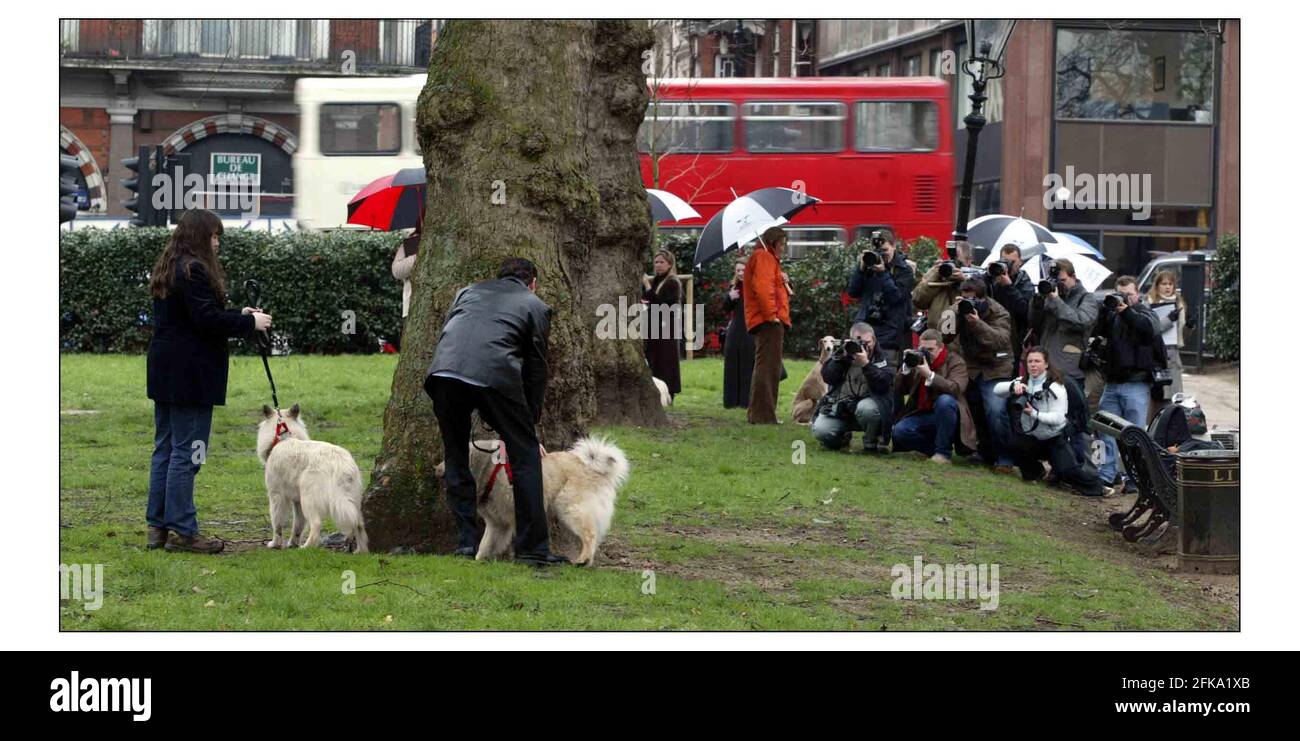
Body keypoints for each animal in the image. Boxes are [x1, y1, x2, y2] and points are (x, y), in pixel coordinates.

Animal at [254, 403, 369, 553]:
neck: (283, 439)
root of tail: (338, 462)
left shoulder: (277, 497)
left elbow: (277, 524)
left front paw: (275, 544)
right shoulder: (297, 502)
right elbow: (298, 526)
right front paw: (293, 543)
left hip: (308, 499)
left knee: (316, 524)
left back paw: (306, 547)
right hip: (351, 500)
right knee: (359, 524)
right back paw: (360, 551)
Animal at [434, 436, 631, 561]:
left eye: (447, 459)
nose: (435, 469)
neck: (491, 472)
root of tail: (594, 468)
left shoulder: (514, 517)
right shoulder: (497, 524)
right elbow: (486, 544)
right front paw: (478, 560)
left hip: (570, 509)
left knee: (590, 535)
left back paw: (582, 560)